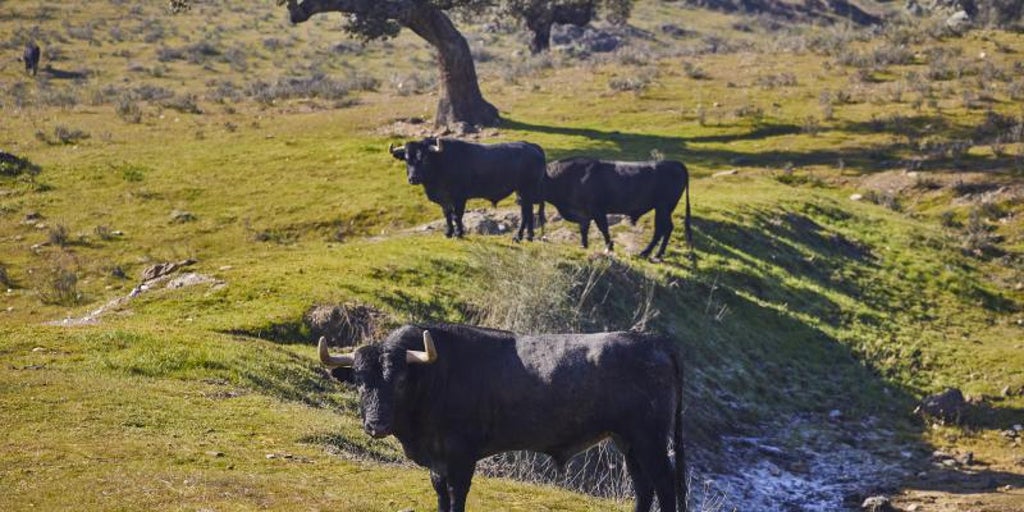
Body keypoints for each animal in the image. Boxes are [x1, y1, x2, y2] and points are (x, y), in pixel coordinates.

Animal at [319, 323, 688, 512]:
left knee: (664, 484)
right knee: (643, 486)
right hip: (628, 440)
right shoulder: (438, 459)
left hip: (650, 438)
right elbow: (441, 492)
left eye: (399, 380)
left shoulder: (461, 454)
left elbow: (457, 493)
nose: (376, 425)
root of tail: (652, 341)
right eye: (360, 381)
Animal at [387, 135, 544, 240]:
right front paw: (448, 233)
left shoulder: (459, 198)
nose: (413, 178)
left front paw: (459, 234)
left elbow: (457, 216)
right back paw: (527, 236)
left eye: (424, 158)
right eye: (406, 159)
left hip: (526, 190)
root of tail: (532, 147)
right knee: (528, 212)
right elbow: (447, 215)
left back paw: (519, 236)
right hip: (521, 192)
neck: (441, 162)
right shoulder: (444, 200)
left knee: (526, 213)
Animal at [540, 155, 692, 260]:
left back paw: (650, 253)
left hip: (663, 207)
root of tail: (674, 163)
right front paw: (584, 245)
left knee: (663, 228)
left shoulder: (597, 210)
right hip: (663, 209)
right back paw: (653, 253)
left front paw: (609, 246)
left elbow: (603, 228)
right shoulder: (583, 213)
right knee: (664, 228)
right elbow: (584, 229)